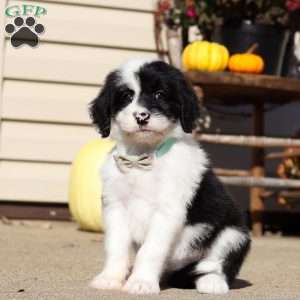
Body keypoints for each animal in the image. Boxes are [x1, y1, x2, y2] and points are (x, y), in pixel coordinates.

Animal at [89, 58, 251, 296]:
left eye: (160, 94)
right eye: (126, 96)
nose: (141, 117)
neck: (142, 159)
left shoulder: (168, 210)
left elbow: (150, 250)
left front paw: (142, 282)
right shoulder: (115, 207)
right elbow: (116, 247)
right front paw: (110, 278)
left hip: (234, 234)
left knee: (219, 265)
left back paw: (212, 283)